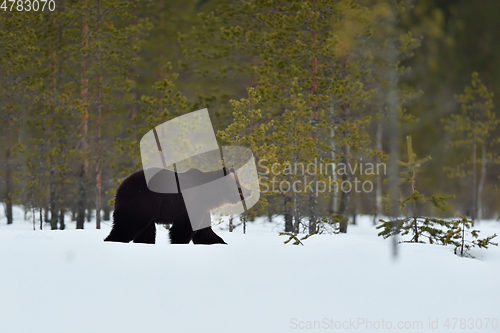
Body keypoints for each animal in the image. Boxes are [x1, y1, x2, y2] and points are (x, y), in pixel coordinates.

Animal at [103, 169, 250, 244]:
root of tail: (121, 186)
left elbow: (205, 232)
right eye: (238, 184)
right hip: (141, 203)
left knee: (145, 231)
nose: (249, 191)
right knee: (127, 225)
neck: (208, 194)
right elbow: (183, 228)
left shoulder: (202, 208)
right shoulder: (190, 205)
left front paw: (219, 241)